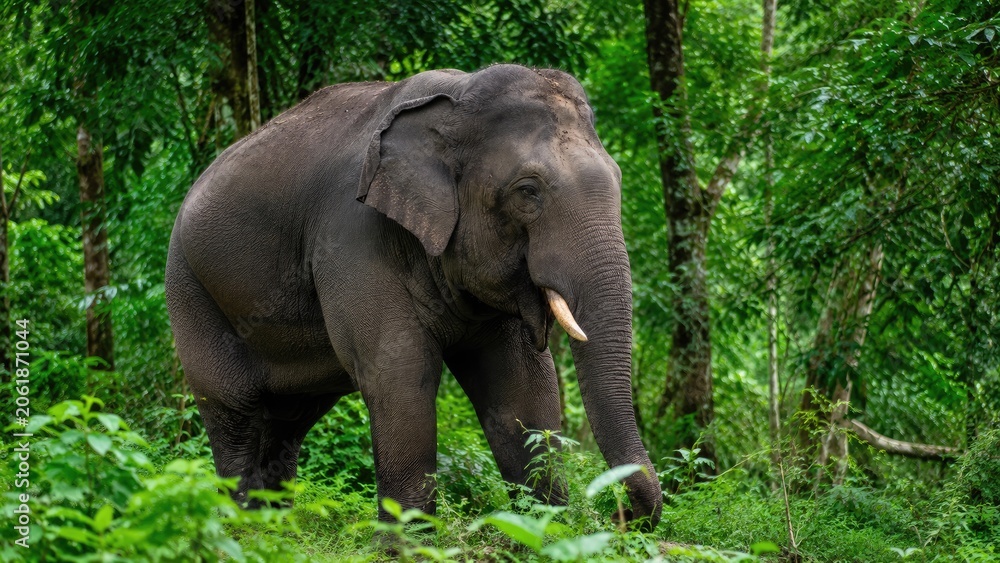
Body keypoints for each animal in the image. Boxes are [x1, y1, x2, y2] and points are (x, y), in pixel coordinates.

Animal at [164, 63, 662, 527]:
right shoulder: (353, 235)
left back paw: (275, 529)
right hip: (190, 288)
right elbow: (400, 373)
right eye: (527, 191)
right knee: (233, 411)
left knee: (288, 420)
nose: (620, 513)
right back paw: (242, 529)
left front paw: (549, 532)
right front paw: (407, 544)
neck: (457, 98)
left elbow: (522, 387)